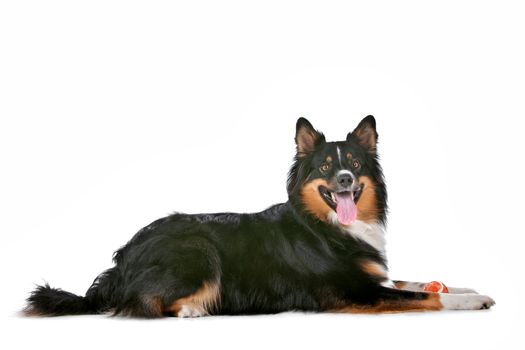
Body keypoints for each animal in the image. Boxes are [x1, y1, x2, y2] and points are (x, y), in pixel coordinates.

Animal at [24, 115, 494, 318]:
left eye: (356, 165)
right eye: (325, 168)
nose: (344, 179)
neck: (325, 226)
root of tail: (120, 261)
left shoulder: (370, 276)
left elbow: (414, 281)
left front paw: (467, 286)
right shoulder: (351, 291)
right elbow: (422, 296)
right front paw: (469, 300)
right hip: (198, 250)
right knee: (144, 303)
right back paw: (190, 309)